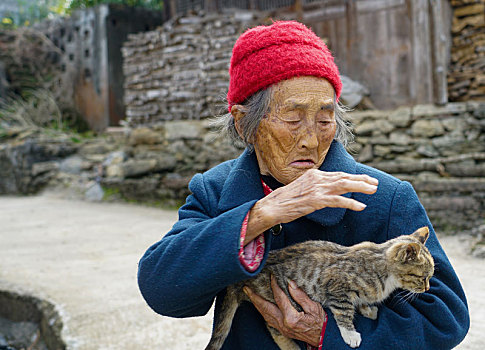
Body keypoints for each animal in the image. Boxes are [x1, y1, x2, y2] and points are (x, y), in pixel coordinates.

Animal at [206, 226, 432, 348]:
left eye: (430, 277)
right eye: (423, 278)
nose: (428, 288)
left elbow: (360, 302)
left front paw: (368, 310)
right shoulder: (336, 286)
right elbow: (343, 312)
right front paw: (350, 334)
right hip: (280, 298)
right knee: (275, 328)